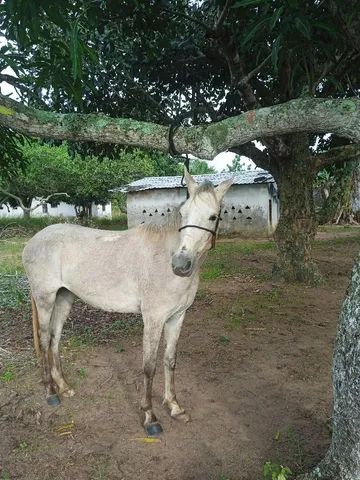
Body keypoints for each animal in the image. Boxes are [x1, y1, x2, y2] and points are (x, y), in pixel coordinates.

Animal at [22, 170, 232, 436]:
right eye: (183, 213)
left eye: (213, 216)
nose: (180, 264)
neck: (164, 257)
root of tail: (32, 242)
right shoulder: (153, 319)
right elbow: (149, 366)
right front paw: (150, 417)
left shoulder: (177, 317)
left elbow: (170, 360)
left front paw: (174, 407)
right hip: (45, 299)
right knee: (43, 339)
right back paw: (51, 393)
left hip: (64, 298)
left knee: (53, 340)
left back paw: (64, 387)